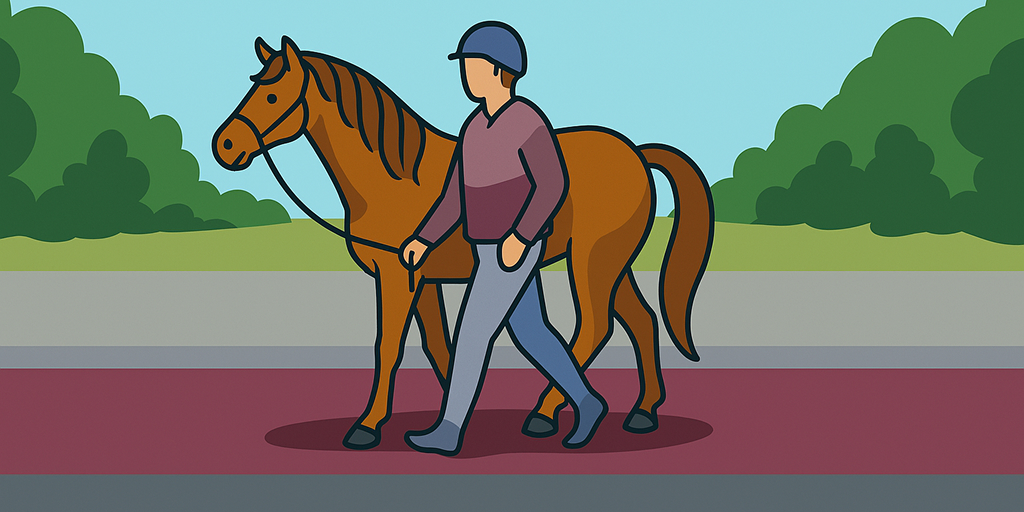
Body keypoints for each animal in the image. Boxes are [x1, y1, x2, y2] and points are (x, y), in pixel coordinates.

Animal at [213, 36, 714, 449]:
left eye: (272, 95)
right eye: (253, 87)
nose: (225, 146)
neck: (394, 179)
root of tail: (636, 152)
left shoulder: (397, 278)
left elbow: (388, 347)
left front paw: (368, 427)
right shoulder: (421, 276)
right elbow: (441, 347)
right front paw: (446, 420)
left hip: (592, 261)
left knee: (595, 326)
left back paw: (548, 413)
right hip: (612, 262)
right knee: (640, 320)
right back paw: (641, 412)